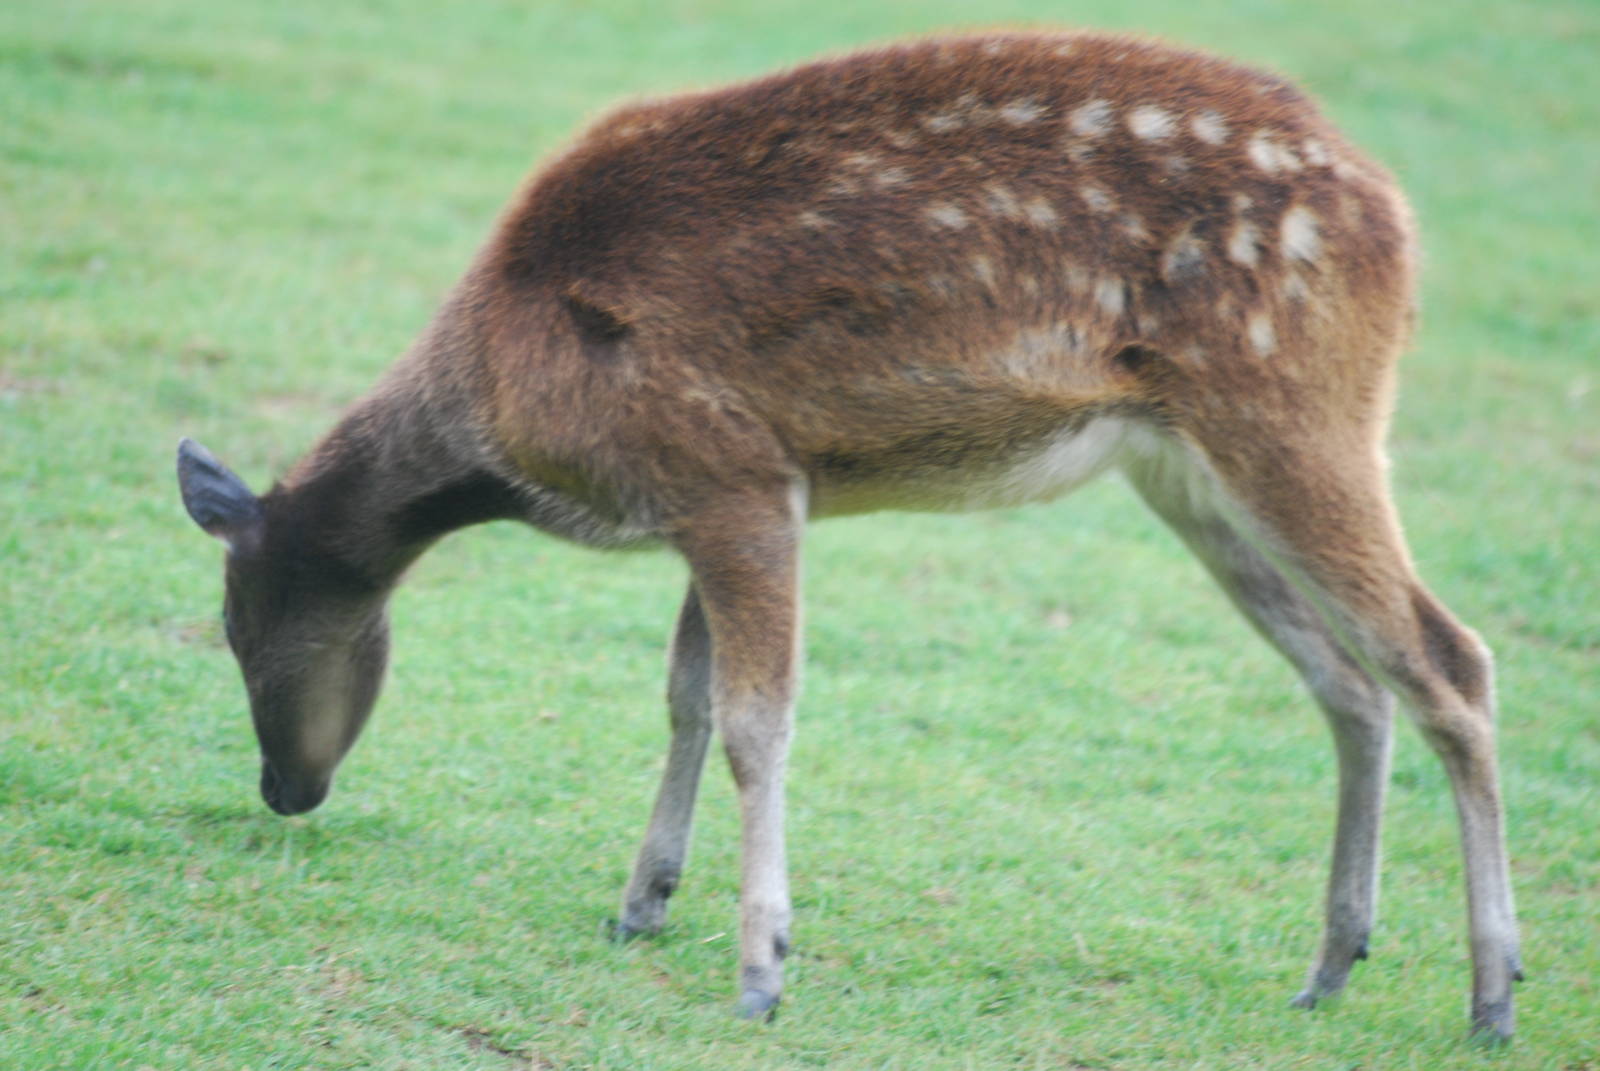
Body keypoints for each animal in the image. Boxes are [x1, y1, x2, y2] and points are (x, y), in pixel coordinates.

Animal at [176, 30, 1521, 1038]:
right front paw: (642, 903)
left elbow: (754, 721)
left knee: (1449, 658)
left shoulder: (729, 474)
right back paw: (1332, 964)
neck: (515, 418)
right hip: (1186, 471)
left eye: (242, 626)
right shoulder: (727, 495)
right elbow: (686, 696)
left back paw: (1491, 993)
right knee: (1350, 680)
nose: (285, 787)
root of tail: (1395, 218)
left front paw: (761, 968)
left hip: (1297, 405)